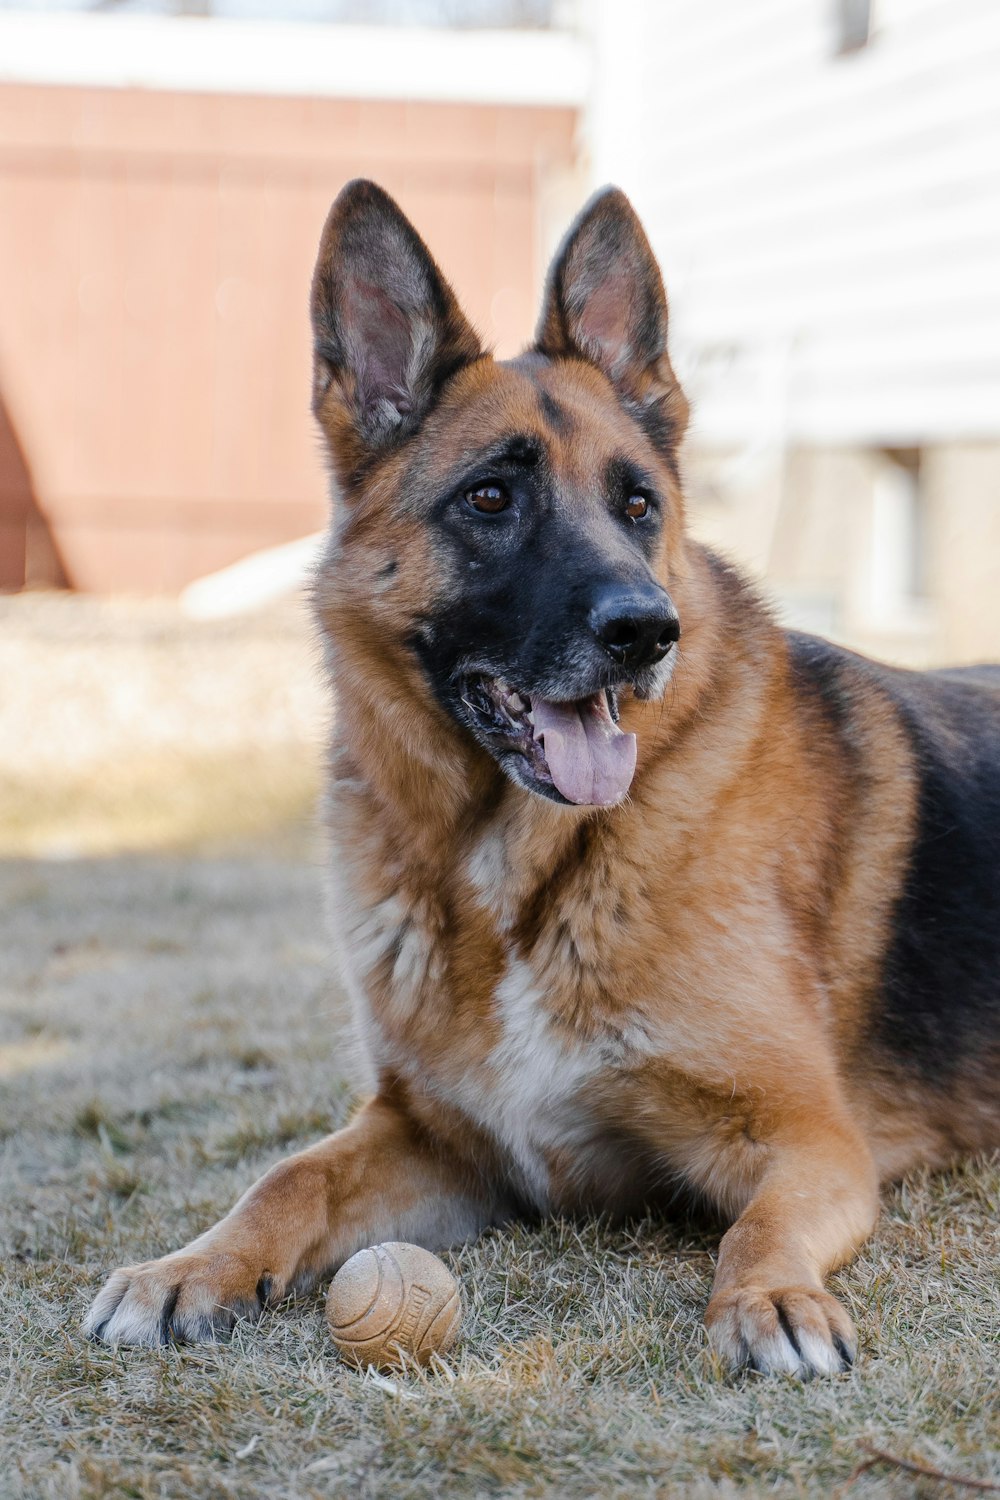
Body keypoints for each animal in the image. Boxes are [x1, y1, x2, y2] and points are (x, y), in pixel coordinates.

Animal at [86, 181, 1000, 1374]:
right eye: (488, 499)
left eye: (639, 505)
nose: (646, 632)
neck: (522, 874)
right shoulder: (434, 1138)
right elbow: (287, 1175)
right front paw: (187, 1268)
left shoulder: (809, 1141)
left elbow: (756, 1229)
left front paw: (772, 1299)